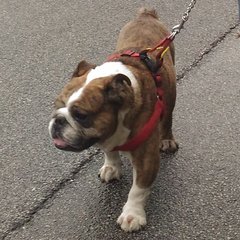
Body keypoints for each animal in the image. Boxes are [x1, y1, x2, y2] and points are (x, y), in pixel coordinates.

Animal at [48, 8, 178, 232]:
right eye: (56, 106)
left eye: (81, 115)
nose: (58, 120)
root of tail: (147, 15)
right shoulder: (106, 137)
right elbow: (109, 151)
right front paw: (112, 166)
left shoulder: (146, 157)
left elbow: (138, 189)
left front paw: (132, 215)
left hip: (170, 94)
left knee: (168, 117)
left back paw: (168, 140)